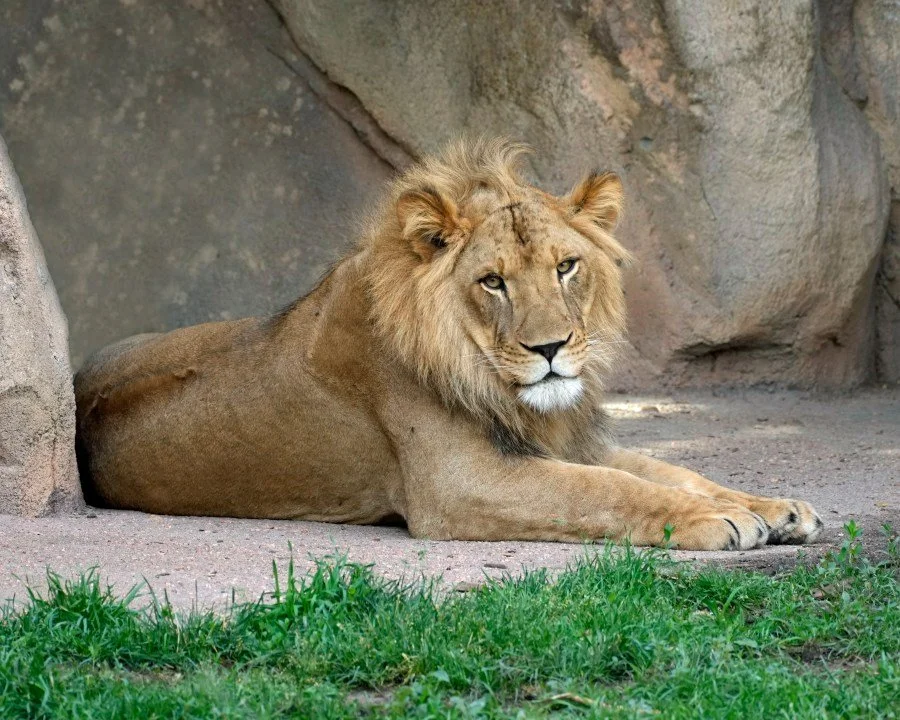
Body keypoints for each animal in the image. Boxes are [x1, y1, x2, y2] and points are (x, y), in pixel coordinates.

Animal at [75, 138, 823, 550]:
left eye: (566, 267)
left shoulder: (563, 441)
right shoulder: (461, 484)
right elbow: (608, 489)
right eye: (492, 281)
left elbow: (669, 470)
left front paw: (773, 508)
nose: (551, 348)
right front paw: (719, 519)